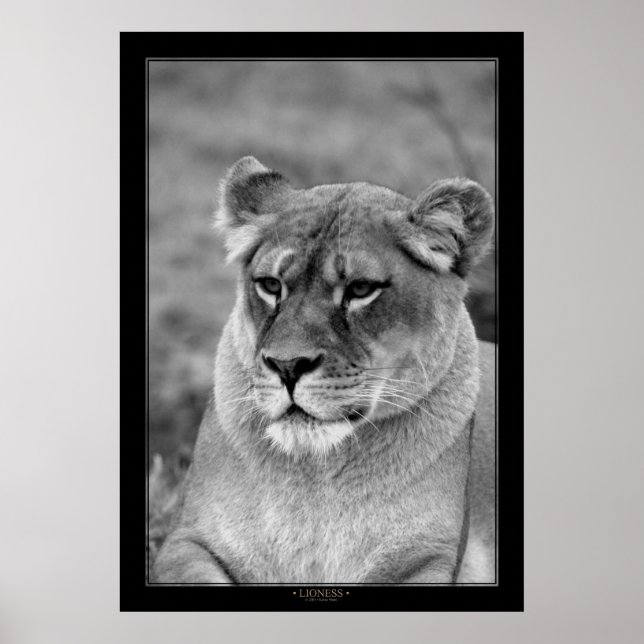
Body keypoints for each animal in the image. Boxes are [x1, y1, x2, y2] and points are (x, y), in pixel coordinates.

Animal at [153, 156, 496, 585]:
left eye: (361, 289)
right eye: (270, 285)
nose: (287, 366)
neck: (317, 474)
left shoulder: (430, 557)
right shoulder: (186, 541)